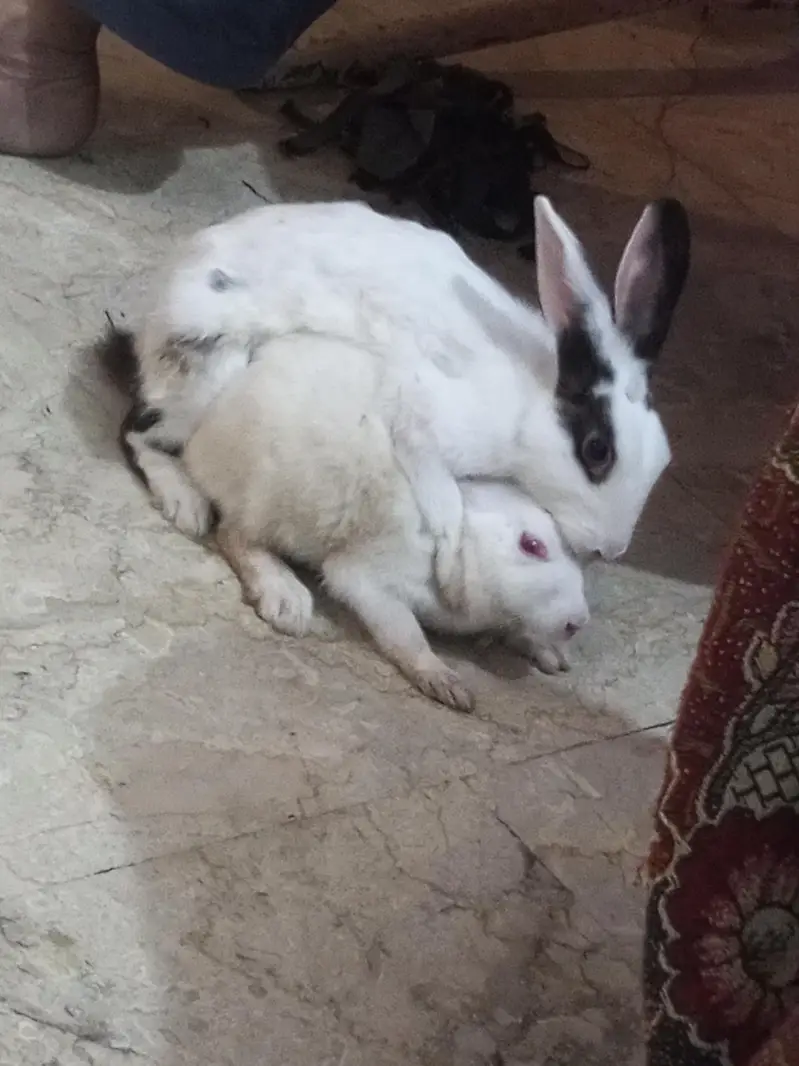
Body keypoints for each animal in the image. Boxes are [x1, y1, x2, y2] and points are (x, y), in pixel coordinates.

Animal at [119, 193, 690, 571]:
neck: (530, 401)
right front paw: (447, 533)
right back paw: (185, 505)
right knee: (136, 431)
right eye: (597, 451)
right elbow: (433, 476)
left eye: (664, 459)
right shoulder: (422, 410)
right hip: (205, 374)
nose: (611, 550)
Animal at [182, 332, 590, 712]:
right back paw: (286, 599)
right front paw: (447, 684)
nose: (577, 623)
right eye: (531, 545)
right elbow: (405, 634)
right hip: (269, 498)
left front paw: (550, 655)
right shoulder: (369, 580)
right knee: (235, 536)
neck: (463, 542)